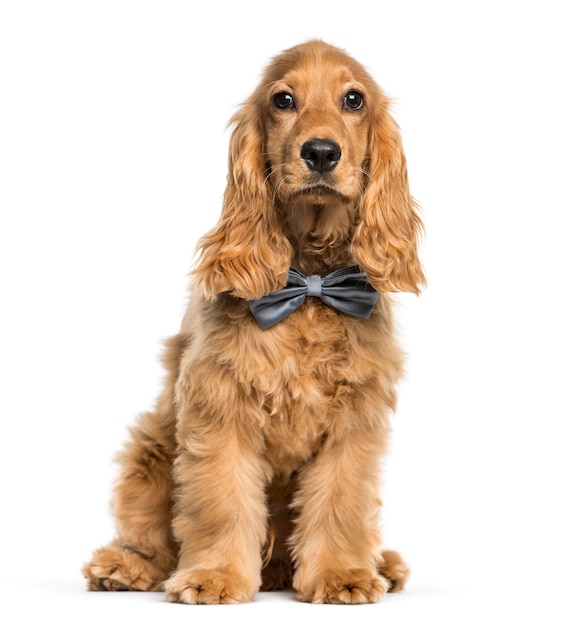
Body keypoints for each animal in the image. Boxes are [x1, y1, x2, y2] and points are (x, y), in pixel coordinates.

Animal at [82, 37, 422, 600]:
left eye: (353, 100)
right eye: (283, 100)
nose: (321, 152)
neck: (309, 284)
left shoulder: (355, 418)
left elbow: (342, 501)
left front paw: (341, 574)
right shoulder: (220, 407)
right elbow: (221, 500)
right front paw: (215, 575)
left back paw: (382, 564)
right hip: (150, 446)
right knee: (150, 534)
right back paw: (124, 566)